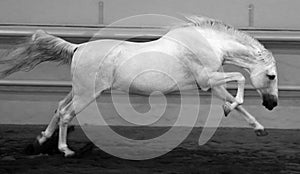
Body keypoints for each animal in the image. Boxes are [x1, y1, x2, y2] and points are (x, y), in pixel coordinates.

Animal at [0, 16, 278, 157]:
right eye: (272, 76)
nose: (272, 104)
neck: (208, 44)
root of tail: (77, 48)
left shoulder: (211, 84)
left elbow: (236, 103)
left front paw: (258, 128)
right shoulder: (207, 79)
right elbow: (240, 80)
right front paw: (232, 109)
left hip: (78, 91)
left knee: (59, 108)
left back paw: (40, 141)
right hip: (87, 94)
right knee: (67, 114)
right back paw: (65, 149)